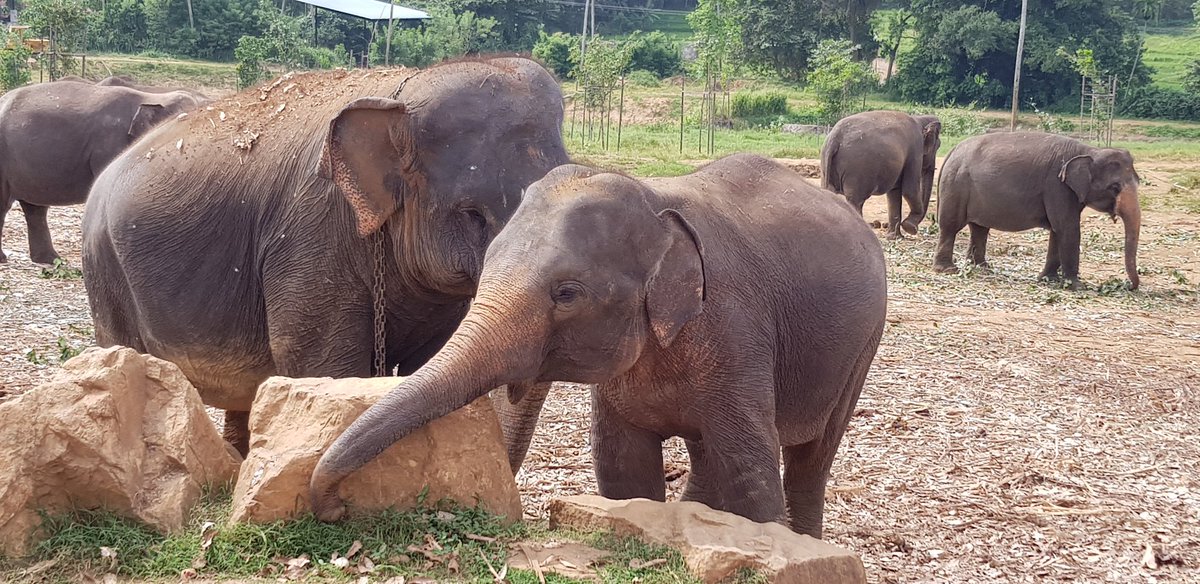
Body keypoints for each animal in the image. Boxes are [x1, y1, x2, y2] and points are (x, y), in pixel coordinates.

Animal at [82, 58, 571, 455]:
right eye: (472, 214)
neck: (400, 96)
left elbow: (430, 364)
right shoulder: (310, 237)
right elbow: (325, 370)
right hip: (106, 272)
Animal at [309, 153, 889, 538]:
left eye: (567, 293)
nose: (335, 509)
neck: (656, 199)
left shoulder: (736, 330)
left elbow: (750, 471)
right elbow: (623, 468)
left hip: (864, 344)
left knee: (813, 455)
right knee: (709, 452)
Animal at [821, 110, 942, 238]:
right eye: (938, 145)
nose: (932, 221)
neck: (919, 118)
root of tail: (835, 138)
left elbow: (894, 191)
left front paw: (894, 237)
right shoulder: (915, 151)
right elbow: (910, 189)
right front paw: (909, 228)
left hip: (826, 165)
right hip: (857, 172)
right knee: (855, 201)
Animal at [933, 132, 1141, 290]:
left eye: (1138, 181)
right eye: (1114, 187)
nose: (1129, 286)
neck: (1089, 150)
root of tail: (952, 152)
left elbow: (1058, 230)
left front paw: (1048, 279)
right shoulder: (1057, 186)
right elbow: (1068, 228)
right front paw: (1077, 286)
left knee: (979, 228)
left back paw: (981, 268)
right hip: (956, 185)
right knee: (950, 226)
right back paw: (947, 270)